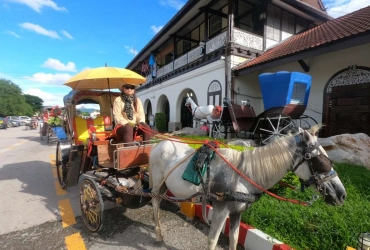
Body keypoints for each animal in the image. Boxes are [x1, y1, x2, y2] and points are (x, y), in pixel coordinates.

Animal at [148, 124, 346, 250]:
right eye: (322, 162)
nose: (341, 194)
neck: (244, 175)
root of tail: (160, 143)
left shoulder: (237, 211)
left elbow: (234, 238)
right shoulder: (221, 209)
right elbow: (212, 240)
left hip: (166, 185)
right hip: (157, 184)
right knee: (155, 203)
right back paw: (158, 235)